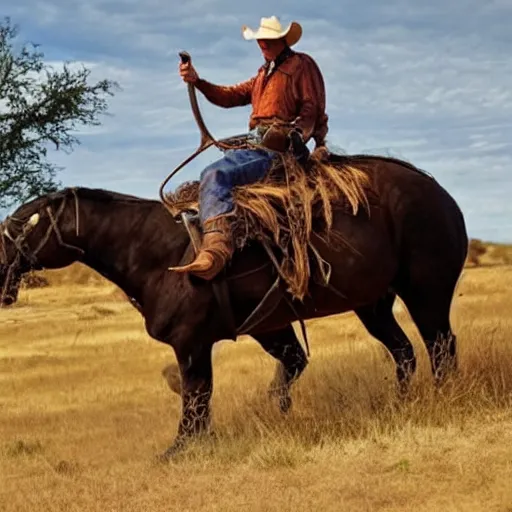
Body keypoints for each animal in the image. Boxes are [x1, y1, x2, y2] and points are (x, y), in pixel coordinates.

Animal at [0, 153, 468, 460]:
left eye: (22, 224)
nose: (1, 268)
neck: (154, 251)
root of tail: (439, 191)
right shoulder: (267, 326)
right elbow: (288, 366)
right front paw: (273, 411)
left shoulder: (191, 344)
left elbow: (196, 397)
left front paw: (181, 449)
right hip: (374, 305)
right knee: (405, 352)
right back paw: (400, 404)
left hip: (426, 292)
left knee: (440, 347)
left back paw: (444, 401)